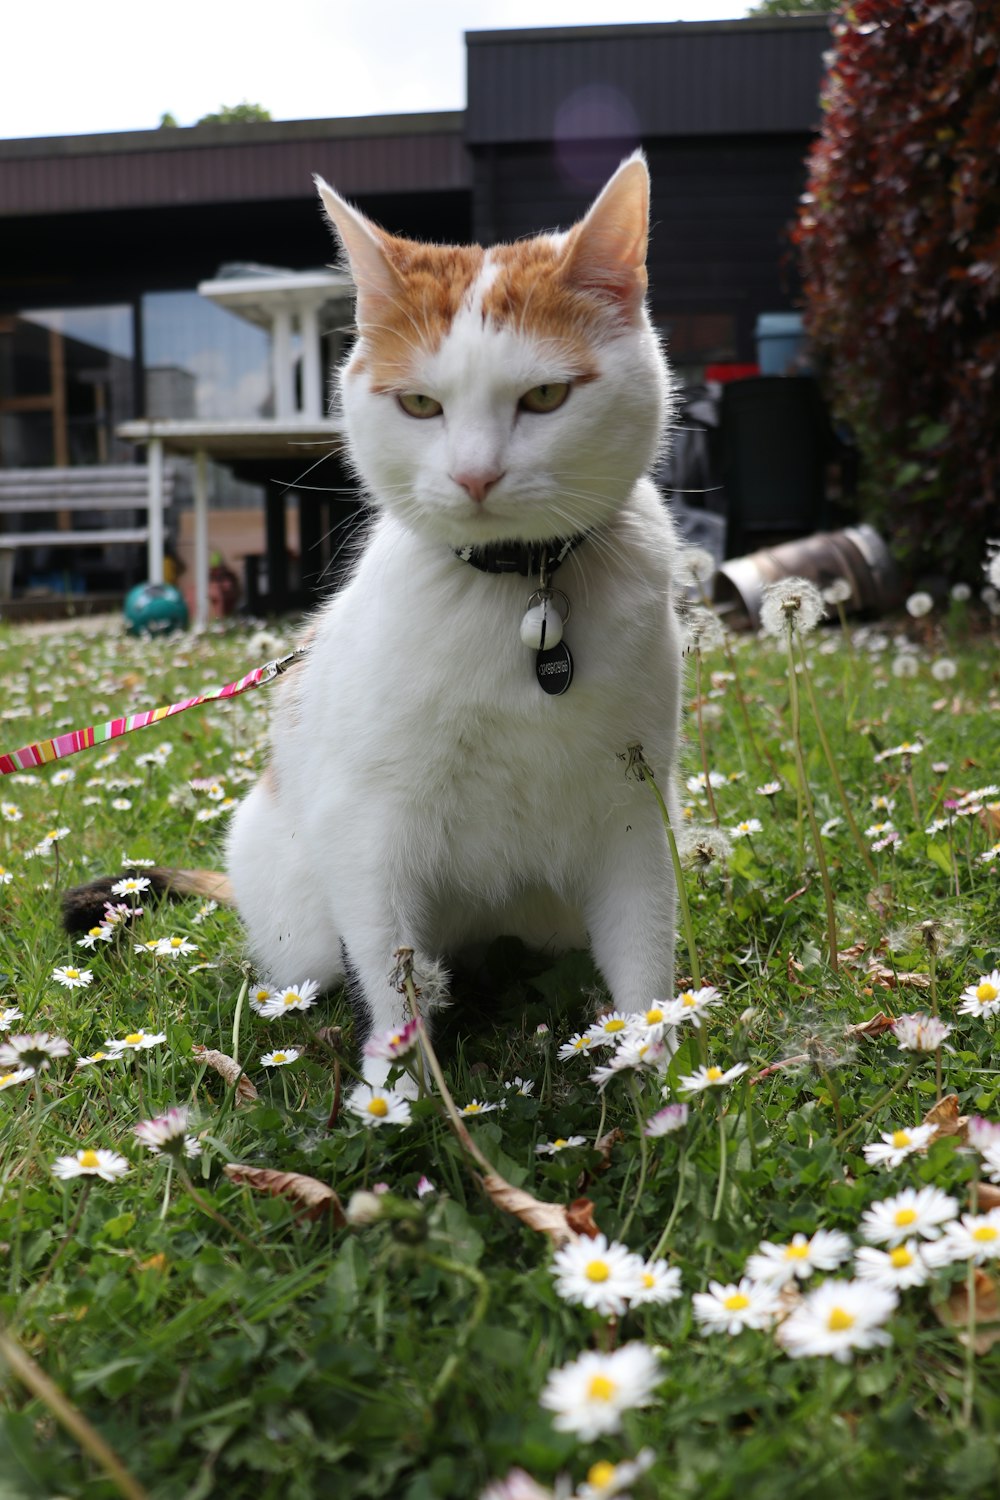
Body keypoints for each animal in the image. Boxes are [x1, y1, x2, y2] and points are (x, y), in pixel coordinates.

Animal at [227, 152, 689, 1086]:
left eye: (545, 396)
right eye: (418, 406)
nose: (476, 476)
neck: (521, 594)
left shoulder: (633, 813)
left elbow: (644, 949)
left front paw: (655, 1076)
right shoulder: (368, 824)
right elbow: (389, 970)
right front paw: (399, 1089)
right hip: (301, 923)